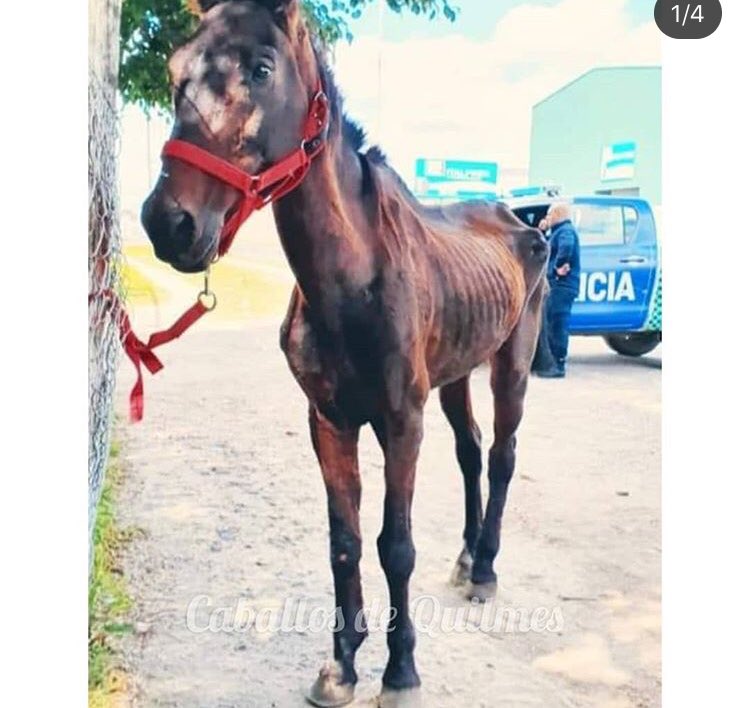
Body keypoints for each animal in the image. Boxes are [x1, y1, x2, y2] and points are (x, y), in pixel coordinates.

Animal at [140, 1, 549, 705]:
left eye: (261, 67)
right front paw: (342, 666)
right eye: (173, 70)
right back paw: (467, 556)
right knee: (471, 451)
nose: (169, 224)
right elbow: (345, 542)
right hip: (456, 373)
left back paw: (486, 570)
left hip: (511, 364)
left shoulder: (401, 420)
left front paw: (401, 669)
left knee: (500, 457)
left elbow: (396, 545)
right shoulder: (329, 421)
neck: (355, 279)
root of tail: (524, 219)